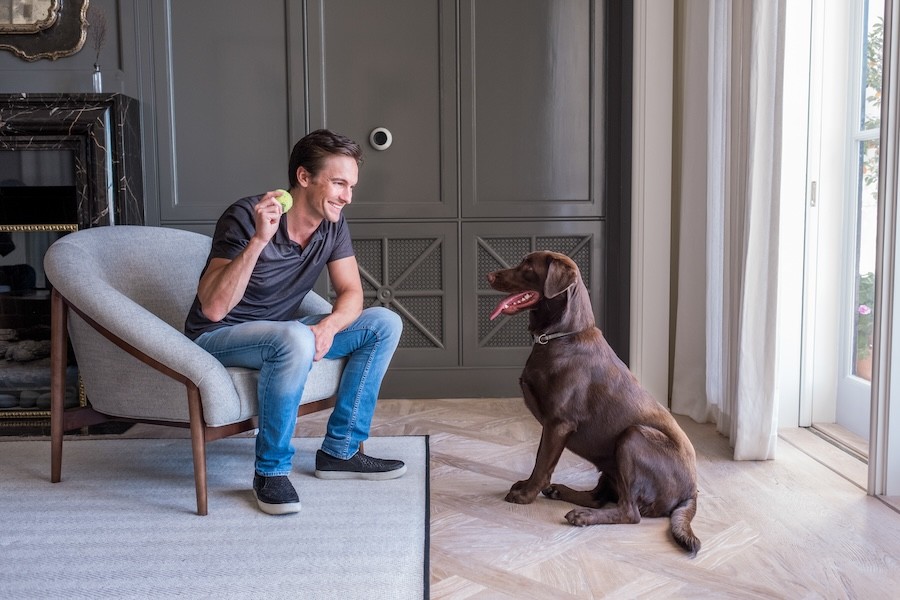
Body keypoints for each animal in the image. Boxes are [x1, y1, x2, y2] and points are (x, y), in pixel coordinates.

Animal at [488, 251, 700, 556]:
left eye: (528, 266)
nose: (489, 276)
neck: (561, 336)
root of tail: (692, 492)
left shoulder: (559, 423)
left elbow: (542, 463)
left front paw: (525, 495)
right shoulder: (550, 426)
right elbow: (540, 461)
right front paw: (529, 486)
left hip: (633, 437)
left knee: (630, 512)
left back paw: (582, 516)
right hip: (612, 463)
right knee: (601, 497)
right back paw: (563, 493)